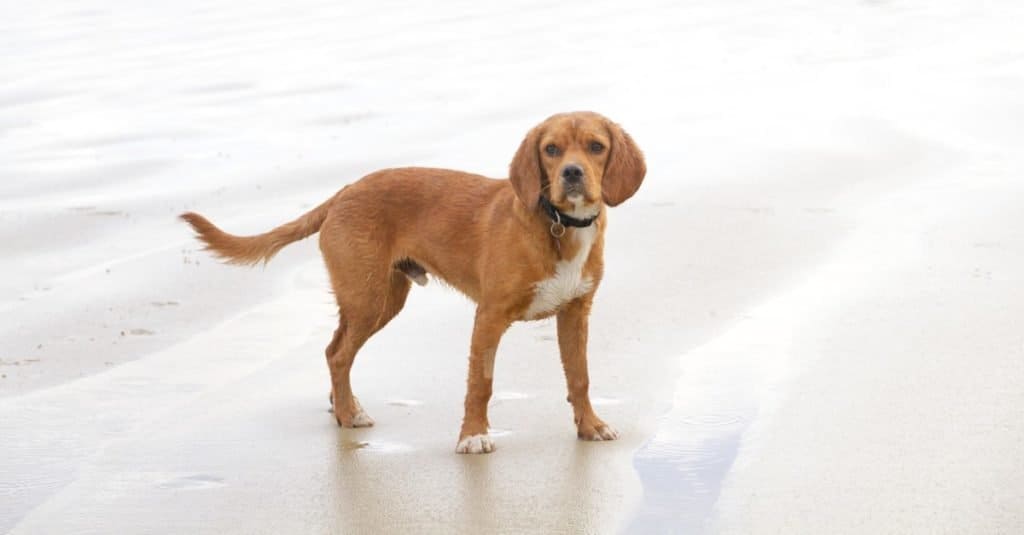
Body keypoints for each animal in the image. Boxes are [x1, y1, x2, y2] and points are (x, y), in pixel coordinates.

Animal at [180, 110, 643, 450]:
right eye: (551, 149)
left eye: (596, 147)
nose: (571, 173)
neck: (558, 225)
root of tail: (344, 191)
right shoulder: (489, 317)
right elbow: (480, 383)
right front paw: (473, 436)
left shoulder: (576, 313)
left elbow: (580, 377)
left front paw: (590, 426)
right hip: (368, 299)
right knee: (338, 355)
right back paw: (349, 414)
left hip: (381, 298)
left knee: (334, 349)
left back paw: (342, 405)